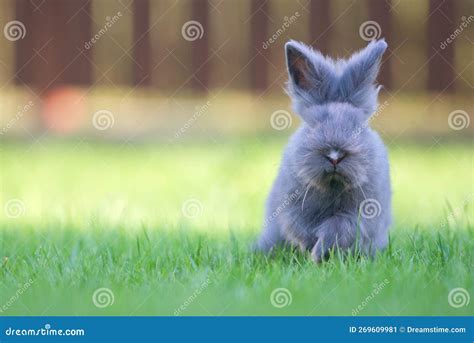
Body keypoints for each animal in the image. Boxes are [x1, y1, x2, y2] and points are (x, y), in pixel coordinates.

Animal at [260, 38, 392, 264]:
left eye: (358, 125)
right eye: (313, 125)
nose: (335, 156)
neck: (333, 185)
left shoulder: (359, 214)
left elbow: (338, 229)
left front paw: (318, 252)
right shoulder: (292, 209)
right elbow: (300, 229)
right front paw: (311, 250)